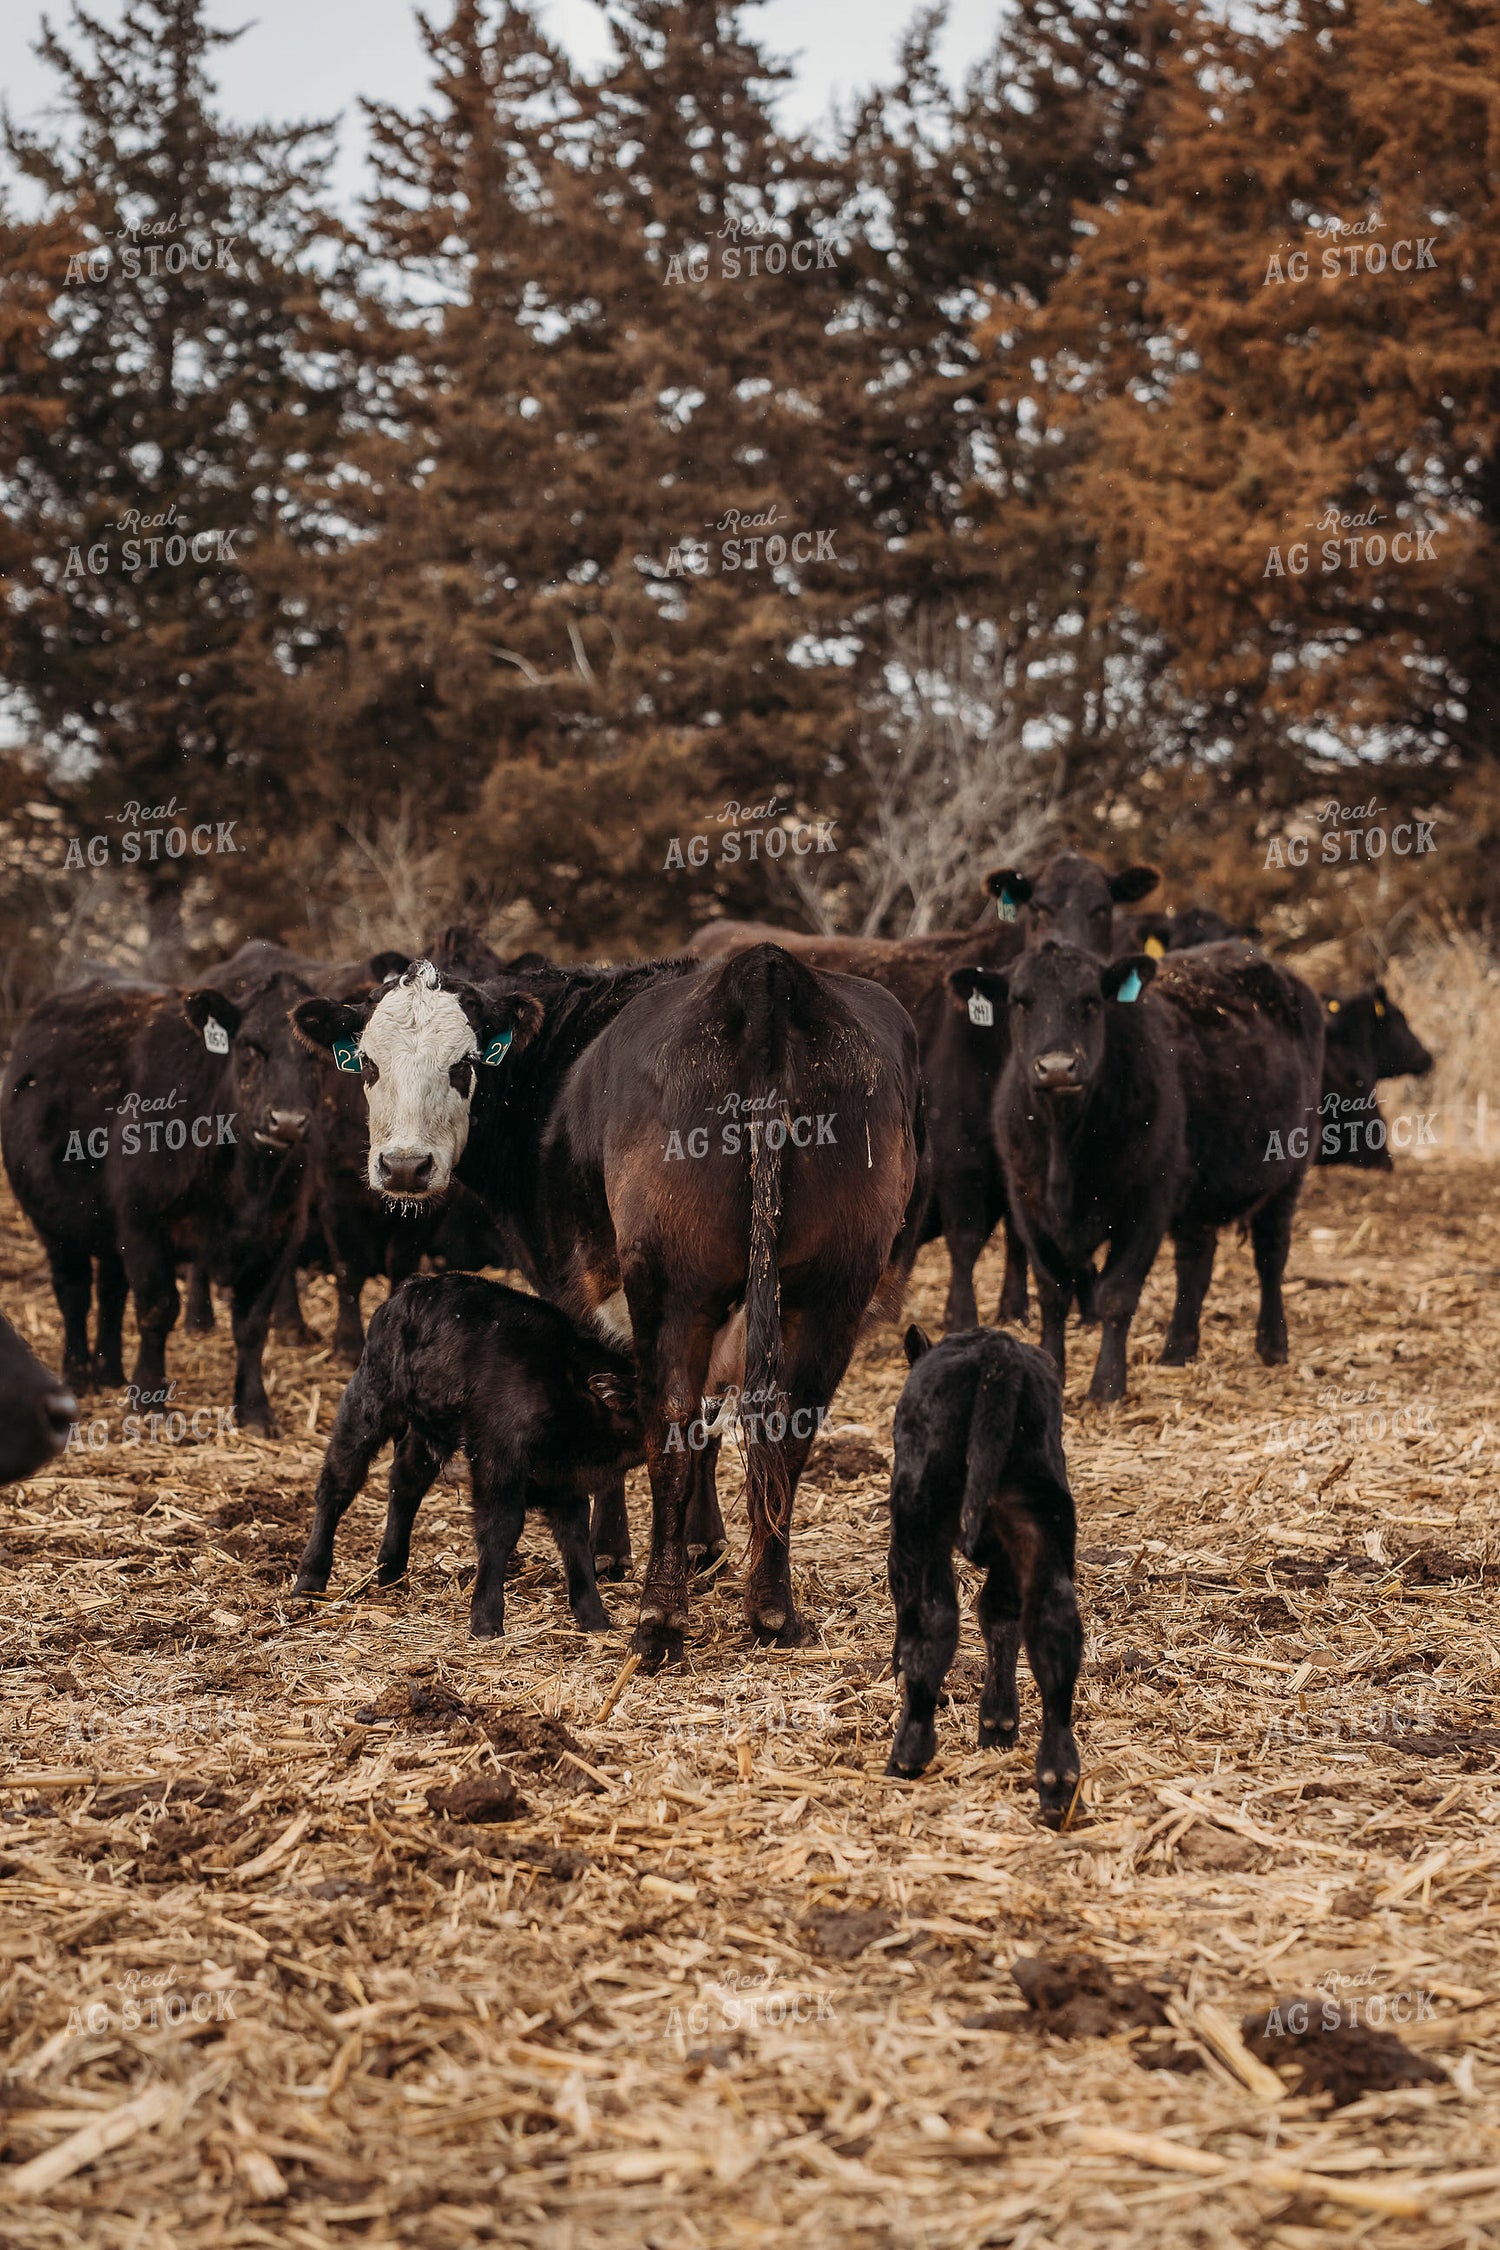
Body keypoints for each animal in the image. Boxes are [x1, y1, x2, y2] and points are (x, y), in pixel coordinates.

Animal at [2, 969, 322, 1430]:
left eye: (318, 1056)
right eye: (249, 1046)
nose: (288, 1121)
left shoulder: (280, 1236)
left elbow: (252, 1324)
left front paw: (255, 1409)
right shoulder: (142, 1221)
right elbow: (157, 1307)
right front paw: (149, 1400)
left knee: (111, 1292)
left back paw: (110, 1371)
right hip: (56, 1225)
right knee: (74, 1293)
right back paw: (78, 1376)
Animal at [292, 1274, 643, 1635]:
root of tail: (410, 1288)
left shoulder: (567, 1481)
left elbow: (574, 1537)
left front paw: (594, 1616)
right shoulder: (497, 1462)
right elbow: (500, 1529)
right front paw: (486, 1619)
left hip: (425, 1429)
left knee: (405, 1483)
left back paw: (391, 1571)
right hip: (369, 1402)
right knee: (338, 1481)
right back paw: (309, 1579)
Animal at [688, 851, 1160, 1330]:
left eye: (1102, 909)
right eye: (1038, 908)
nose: (1068, 949)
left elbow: (1018, 1237)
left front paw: (1017, 1309)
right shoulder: (959, 1153)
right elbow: (966, 1238)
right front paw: (962, 1316)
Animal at [885, 1323, 1082, 1825]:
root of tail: (996, 1350)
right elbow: (1000, 1618)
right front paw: (998, 1721)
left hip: (918, 1513)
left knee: (931, 1618)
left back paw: (907, 1754)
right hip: (1043, 1525)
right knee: (1052, 1630)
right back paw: (1057, 1781)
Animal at [953, 939, 1324, 1402]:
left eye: (1091, 1001)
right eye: (1021, 1001)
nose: (1056, 1067)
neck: (1063, 1148)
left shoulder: (1147, 1201)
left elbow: (1117, 1294)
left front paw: (1107, 1386)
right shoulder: (1027, 1204)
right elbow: (1053, 1293)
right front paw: (1052, 1370)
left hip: (1290, 1174)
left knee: (1271, 1256)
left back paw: (1272, 1344)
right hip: (1196, 1192)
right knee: (1194, 1264)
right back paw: (1177, 1350)